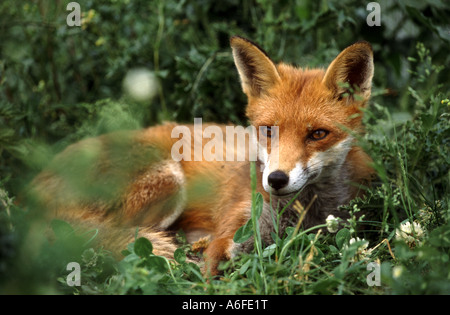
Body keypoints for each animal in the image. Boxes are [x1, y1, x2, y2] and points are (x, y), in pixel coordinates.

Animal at [26, 36, 374, 276]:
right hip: (166, 182)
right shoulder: (231, 232)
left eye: (317, 134)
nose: (276, 180)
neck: (304, 212)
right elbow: (213, 274)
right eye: (268, 130)